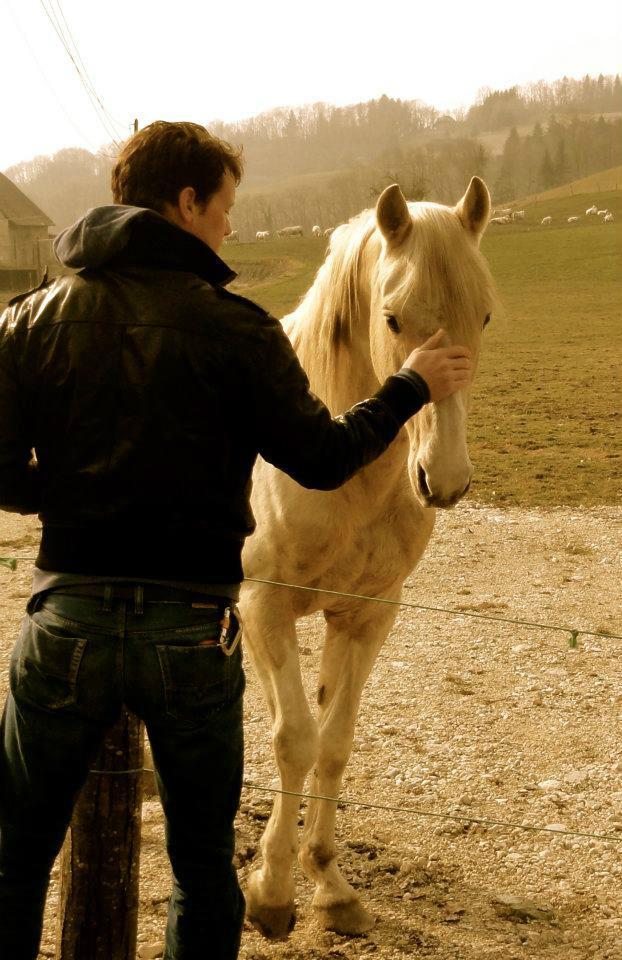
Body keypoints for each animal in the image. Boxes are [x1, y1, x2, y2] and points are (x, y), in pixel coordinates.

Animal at [240, 177, 497, 940]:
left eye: (484, 315)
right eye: (393, 318)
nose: (445, 479)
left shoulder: (367, 615)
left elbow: (333, 742)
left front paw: (329, 883)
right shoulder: (265, 604)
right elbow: (293, 739)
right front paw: (271, 891)